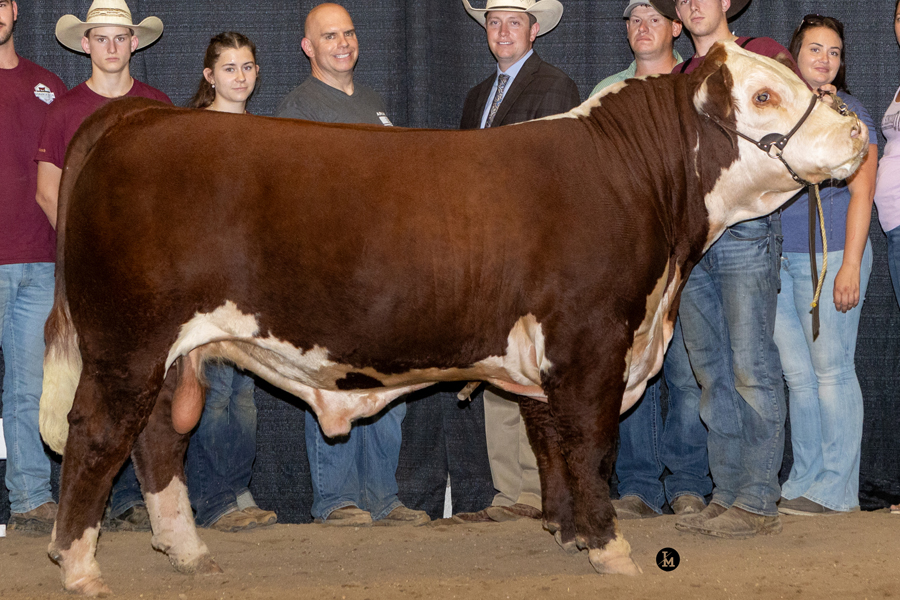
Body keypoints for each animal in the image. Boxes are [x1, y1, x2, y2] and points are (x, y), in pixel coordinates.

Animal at [39, 43, 867, 595]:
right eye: (763, 97)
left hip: (169, 350)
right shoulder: (594, 340)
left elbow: (551, 440)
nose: (859, 132)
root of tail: (139, 116)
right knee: (98, 435)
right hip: (128, 341)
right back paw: (78, 567)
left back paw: (186, 552)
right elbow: (590, 442)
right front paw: (610, 547)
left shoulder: (548, 353)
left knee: (156, 440)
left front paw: (567, 532)